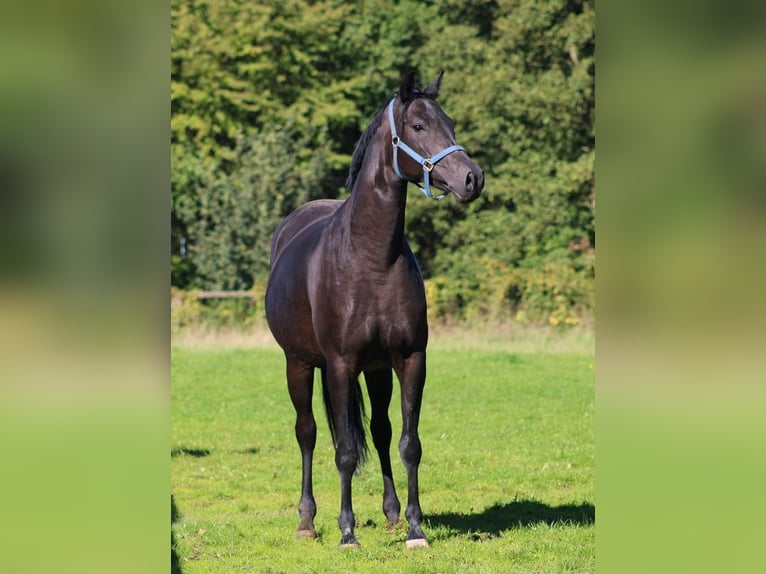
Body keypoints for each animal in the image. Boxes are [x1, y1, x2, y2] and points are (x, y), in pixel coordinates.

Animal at [268, 72, 484, 548]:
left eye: (451, 123)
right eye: (418, 127)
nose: (472, 178)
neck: (371, 258)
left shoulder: (409, 359)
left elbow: (408, 443)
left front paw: (415, 528)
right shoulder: (340, 364)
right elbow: (346, 450)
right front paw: (347, 532)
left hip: (377, 369)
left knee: (381, 432)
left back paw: (390, 513)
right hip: (299, 364)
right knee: (308, 433)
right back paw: (307, 521)